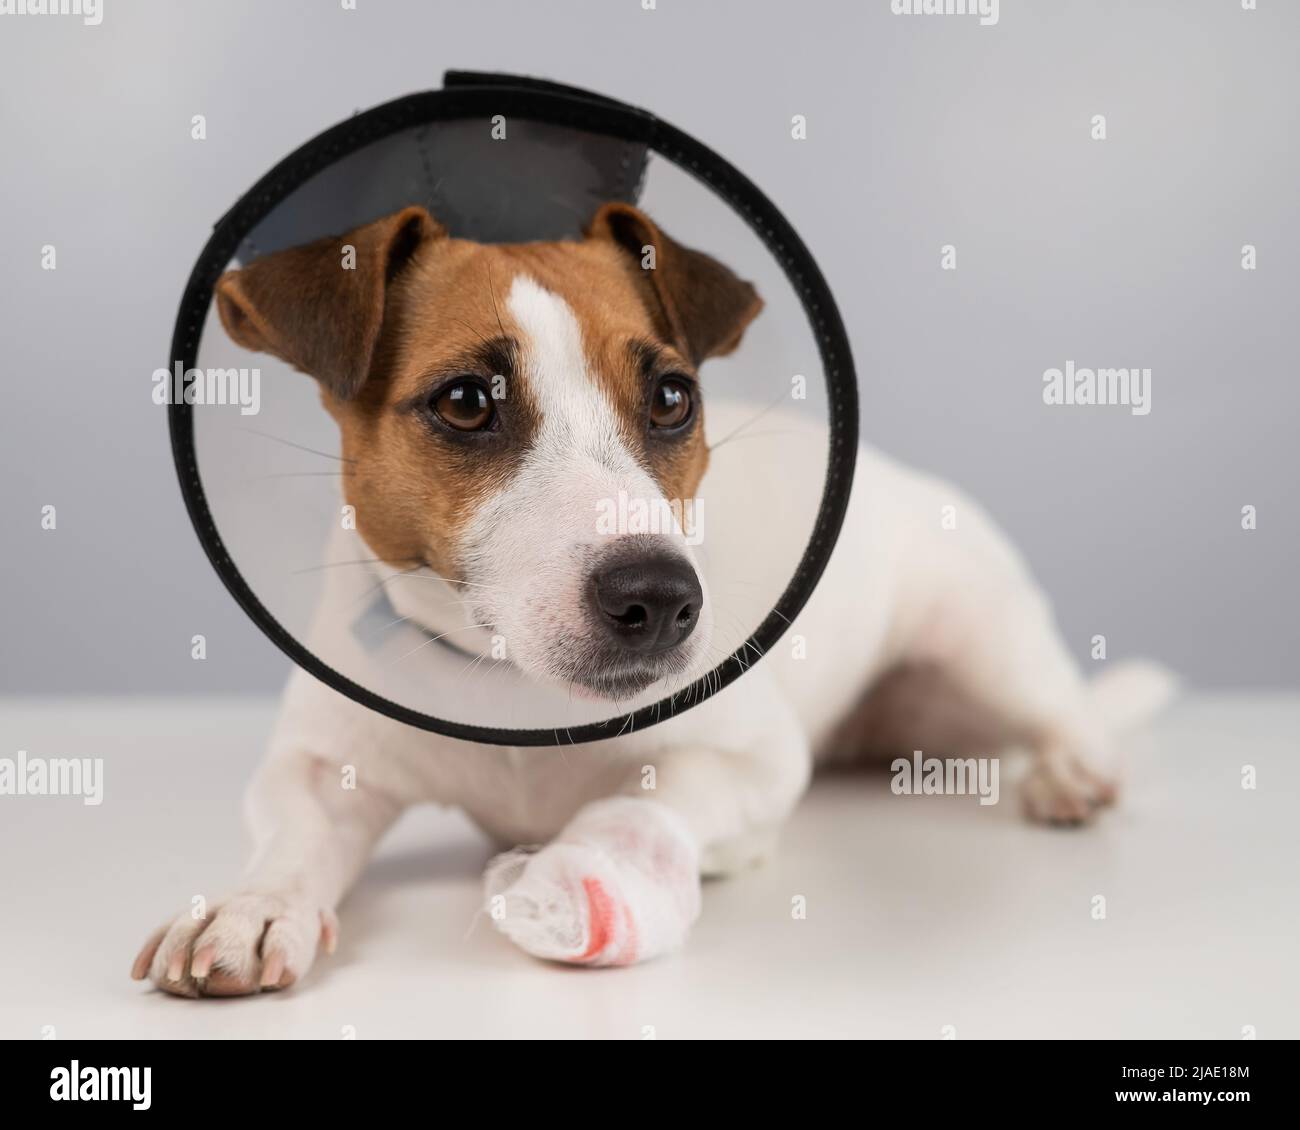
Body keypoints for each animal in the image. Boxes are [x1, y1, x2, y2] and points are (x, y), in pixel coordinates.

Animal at [129, 200, 1170, 988]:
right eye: (466, 402)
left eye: (672, 398)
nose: (662, 598)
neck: (511, 694)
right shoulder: (314, 767)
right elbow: (294, 834)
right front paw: (251, 907)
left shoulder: (749, 758)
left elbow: (635, 805)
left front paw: (582, 883)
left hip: (982, 639)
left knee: (1063, 711)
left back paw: (1069, 771)